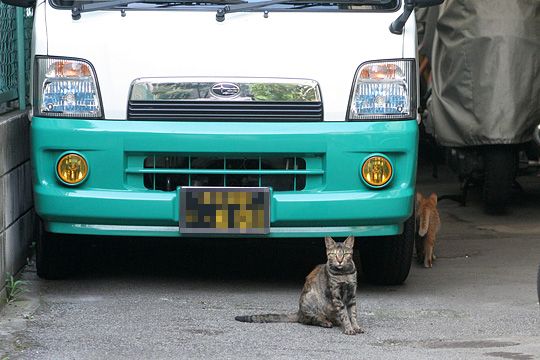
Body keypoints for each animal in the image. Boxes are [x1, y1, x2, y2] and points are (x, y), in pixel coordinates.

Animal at [235, 236, 364, 334]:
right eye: (333, 254)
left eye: (345, 254)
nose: (340, 260)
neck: (344, 273)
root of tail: (299, 312)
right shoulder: (336, 296)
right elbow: (344, 314)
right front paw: (348, 328)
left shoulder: (352, 295)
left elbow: (353, 313)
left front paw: (356, 327)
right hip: (310, 299)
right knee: (309, 320)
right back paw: (325, 322)